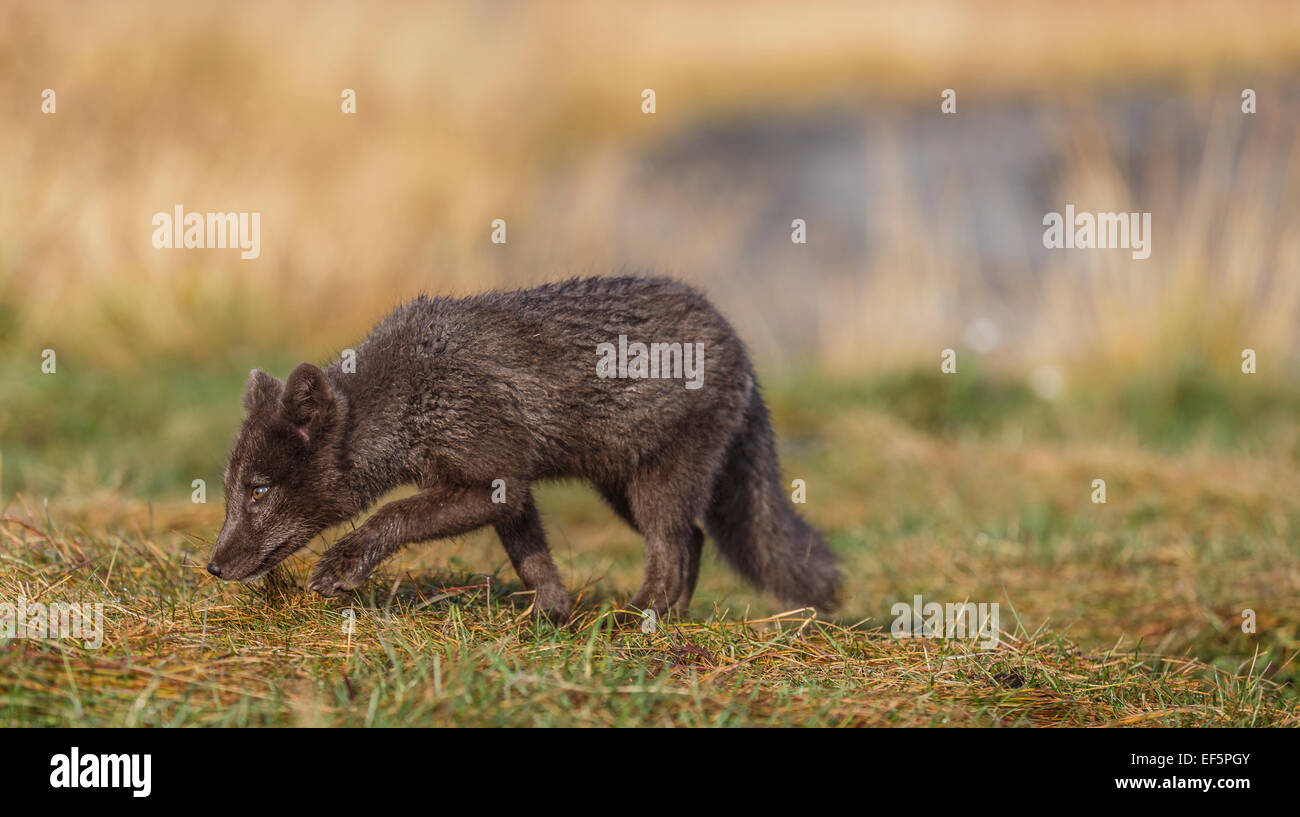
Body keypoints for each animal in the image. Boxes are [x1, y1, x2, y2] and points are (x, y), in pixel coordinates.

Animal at [208, 277, 837, 621]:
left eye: (259, 491)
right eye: (231, 491)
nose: (212, 567)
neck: (412, 391)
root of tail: (736, 339)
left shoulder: (492, 479)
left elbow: (394, 514)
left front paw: (342, 564)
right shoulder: (511, 484)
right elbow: (530, 556)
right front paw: (552, 615)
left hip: (657, 486)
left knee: (674, 547)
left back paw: (640, 620)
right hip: (622, 489)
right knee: (695, 539)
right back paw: (670, 619)